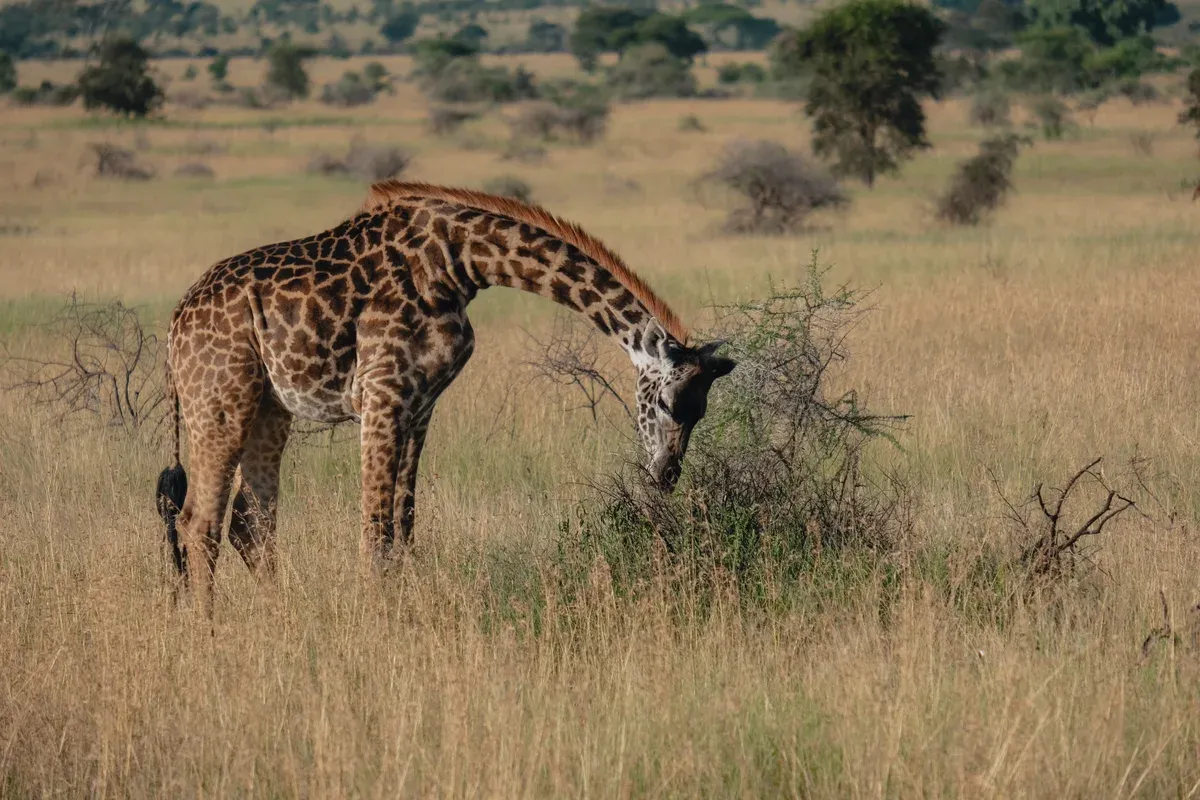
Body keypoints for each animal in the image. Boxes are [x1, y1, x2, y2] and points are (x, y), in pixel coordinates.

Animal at [155, 180, 736, 607]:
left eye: (702, 413)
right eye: (669, 405)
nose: (667, 476)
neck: (462, 263)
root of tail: (175, 324)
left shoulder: (420, 405)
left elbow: (403, 526)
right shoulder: (381, 396)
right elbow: (374, 531)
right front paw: (374, 617)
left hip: (271, 407)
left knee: (250, 524)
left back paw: (278, 617)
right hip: (221, 400)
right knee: (198, 523)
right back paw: (207, 630)